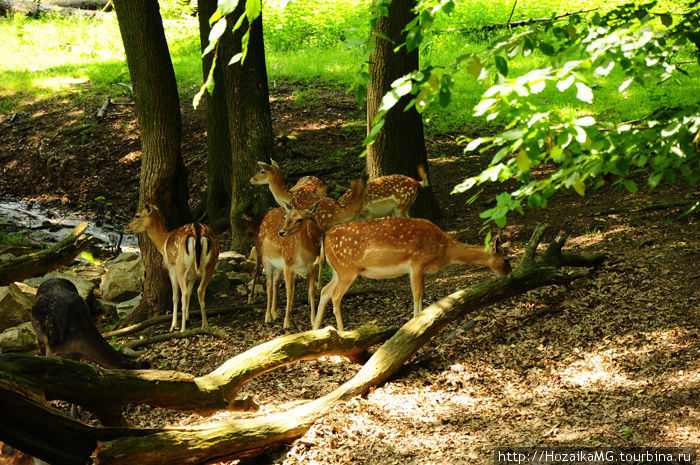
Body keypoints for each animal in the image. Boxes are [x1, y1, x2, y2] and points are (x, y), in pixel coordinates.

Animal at [314, 218, 512, 330]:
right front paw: (415, 323)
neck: (445, 250)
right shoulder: (416, 263)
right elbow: (416, 294)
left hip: (337, 270)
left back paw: (315, 329)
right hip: (347, 269)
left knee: (324, 291)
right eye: (506, 259)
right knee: (335, 295)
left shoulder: (421, 270)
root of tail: (324, 238)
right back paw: (342, 331)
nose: (510, 274)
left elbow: (422, 293)